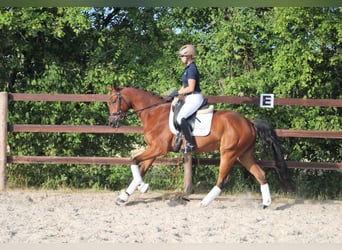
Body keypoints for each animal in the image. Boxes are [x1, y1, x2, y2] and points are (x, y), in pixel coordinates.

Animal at [107, 86, 294, 207]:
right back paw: (266, 203)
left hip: (229, 153)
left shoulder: (158, 149)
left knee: (222, 179)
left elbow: (133, 161)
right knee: (260, 174)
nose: (112, 123)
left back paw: (204, 202)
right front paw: (124, 196)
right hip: (244, 155)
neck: (154, 113)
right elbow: (141, 168)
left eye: (114, 100)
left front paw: (142, 187)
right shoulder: (154, 150)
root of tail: (249, 122)